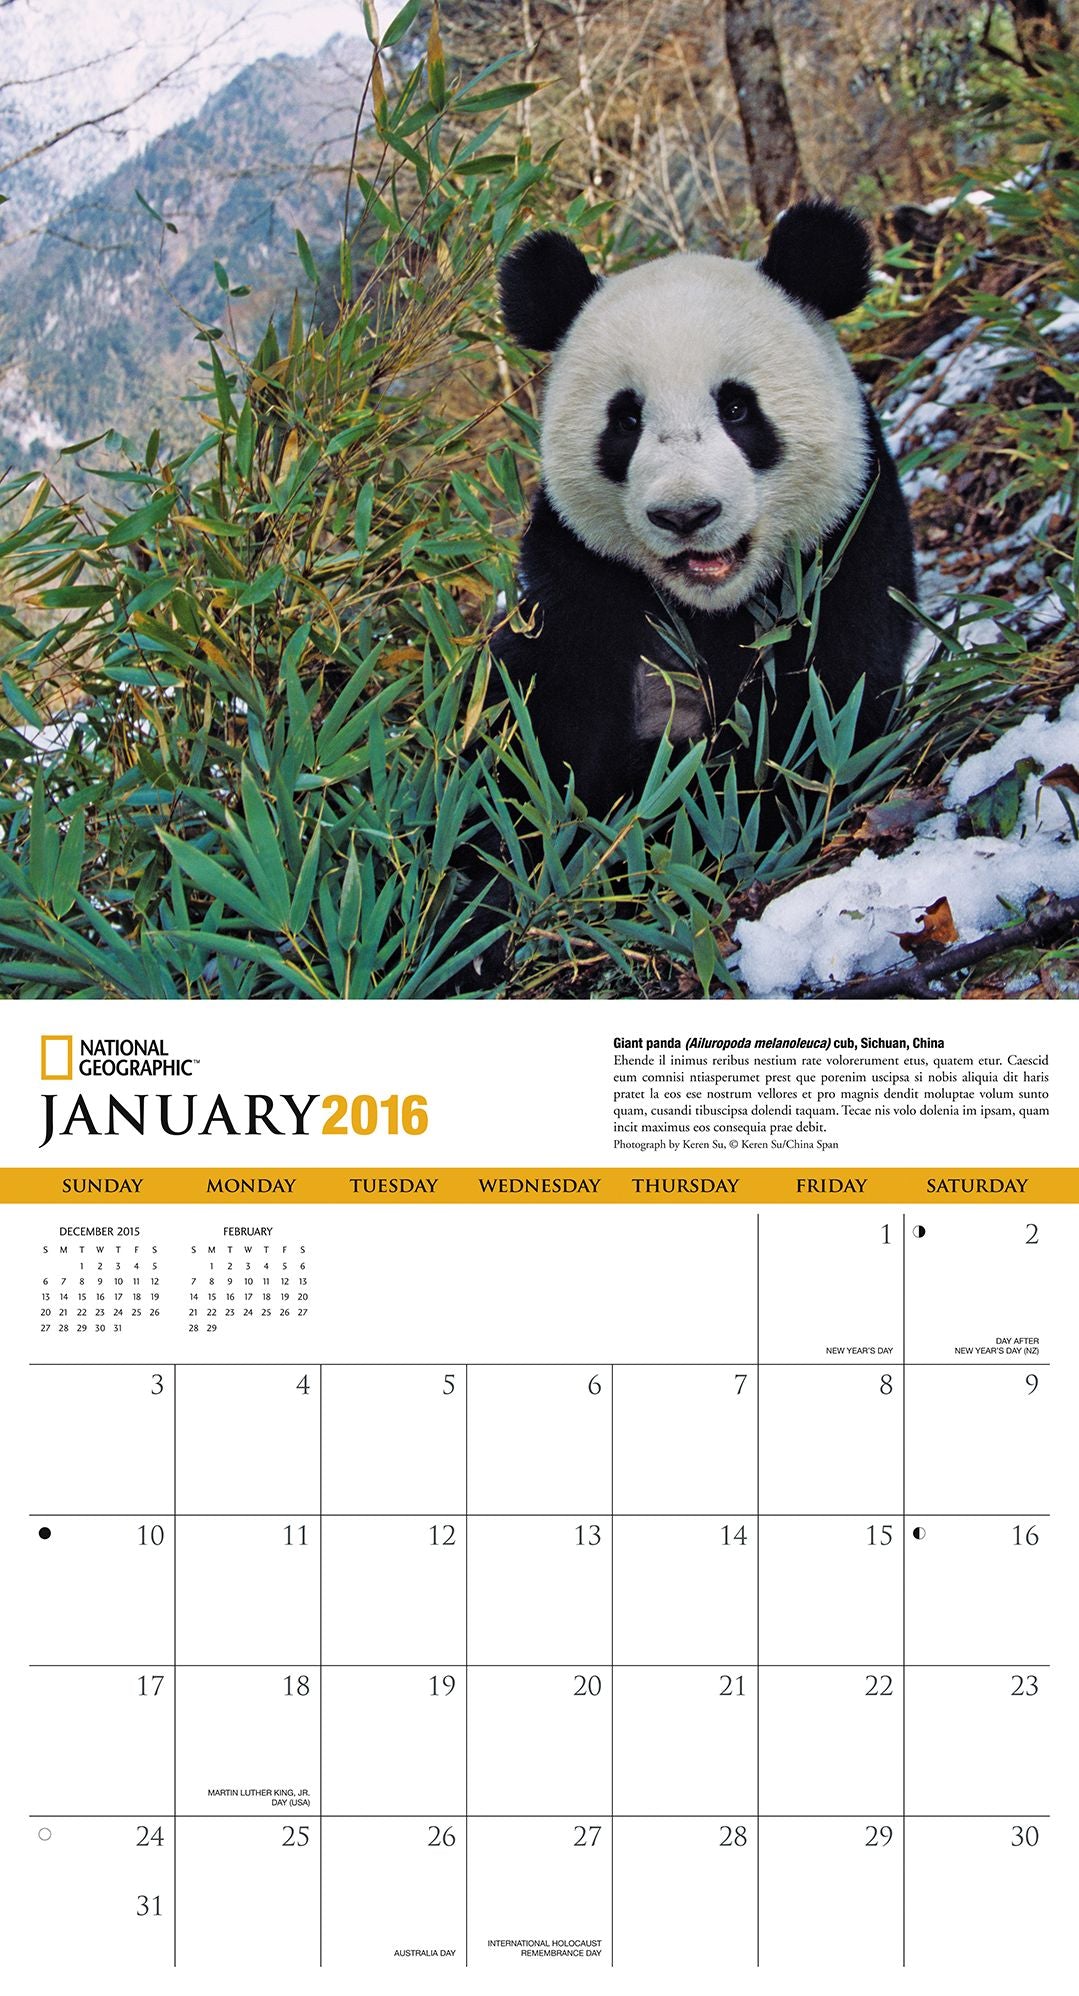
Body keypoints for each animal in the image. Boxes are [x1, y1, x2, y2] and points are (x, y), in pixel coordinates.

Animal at [490, 201, 916, 827]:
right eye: (626, 421)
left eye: (737, 408)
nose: (686, 513)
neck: (711, 608)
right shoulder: (577, 579)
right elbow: (537, 735)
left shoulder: (849, 539)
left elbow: (824, 715)